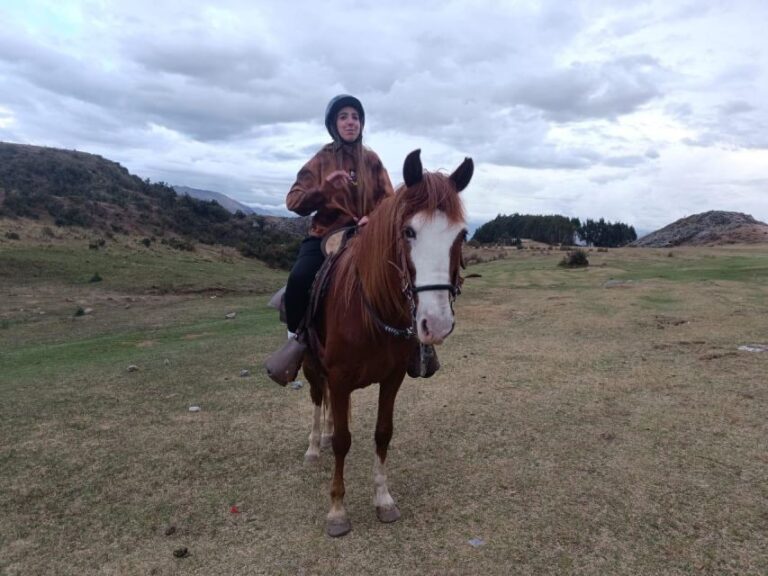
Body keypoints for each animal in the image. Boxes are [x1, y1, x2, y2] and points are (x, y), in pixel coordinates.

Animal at [302, 147, 474, 536]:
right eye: (408, 231)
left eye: (462, 235)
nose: (437, 324)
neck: (370, 311)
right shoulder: (339, 378)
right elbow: (343, 440)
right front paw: (337, 510)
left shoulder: (392, 378)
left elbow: (383, 433)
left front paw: (383, 500)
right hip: (310, 365)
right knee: (318, 400)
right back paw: (314, 447)